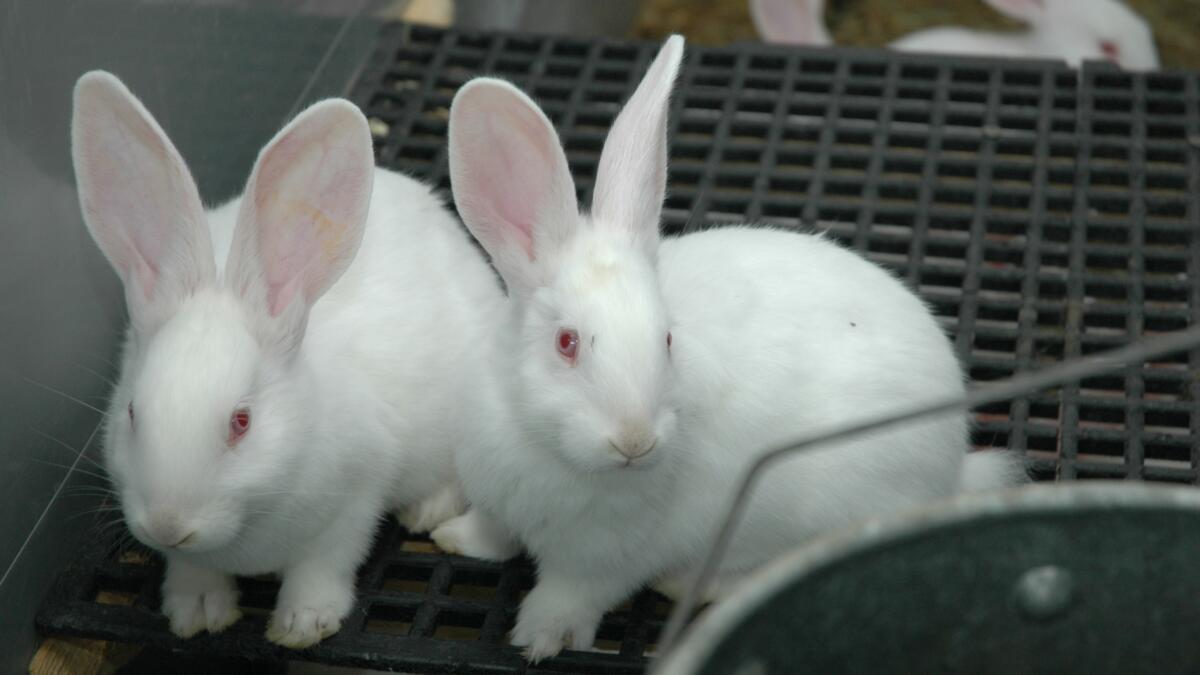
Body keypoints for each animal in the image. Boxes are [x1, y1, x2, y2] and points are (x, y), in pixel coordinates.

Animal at [71, 71, 502, 648]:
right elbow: (192, 570)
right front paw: (195, 612)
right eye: (133, 414)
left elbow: (323, 566)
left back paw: (427, 509)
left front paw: (304, 623)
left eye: (242, 422)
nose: (167, 525)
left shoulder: (353, 500)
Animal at [432, 35, 1027, 662]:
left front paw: (540, 638)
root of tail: (953, 468)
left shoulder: (606, 556)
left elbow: (573, 594)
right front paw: (452, 537)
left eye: (668, 339)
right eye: (566, 343)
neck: (544, 447)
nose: (634, 442)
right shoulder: (496, 499)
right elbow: (493, 534)